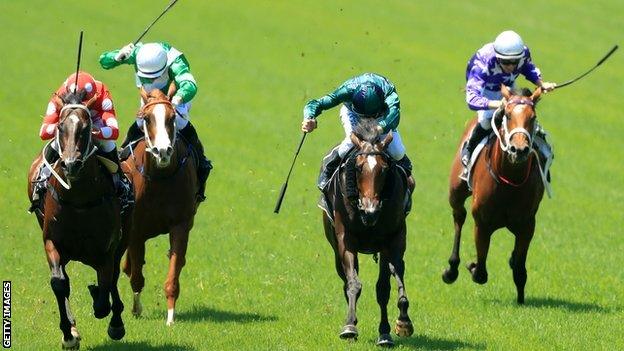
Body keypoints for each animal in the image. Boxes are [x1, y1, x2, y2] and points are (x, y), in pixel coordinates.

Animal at [27, 90, 127, 350]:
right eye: (60, 127)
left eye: (85, 128)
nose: (71, 164)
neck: (79, 200)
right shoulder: (52, 241)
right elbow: (59, 283)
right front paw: (69, 333)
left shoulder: (107, 248)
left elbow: (104, 291)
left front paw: (101, 303)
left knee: (113, 278)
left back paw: (116, 321)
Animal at [119, 86, 200, 326]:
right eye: (147, 118)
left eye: (172, 117)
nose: (162, 151)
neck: (160, 178)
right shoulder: (136, 230)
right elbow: (136, 277)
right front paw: (136, 309)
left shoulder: (180, 224)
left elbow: (173, 273)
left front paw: (171, 317)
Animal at [322, 118, 414, 346]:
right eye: (358, 167)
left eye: (384, 169)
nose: (370, 210)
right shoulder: (345, 240)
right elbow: (353, 284)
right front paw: (349, 326)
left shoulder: (393, 239)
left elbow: (386, 285)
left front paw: (397, 326)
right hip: (335, 246)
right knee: (346, 281)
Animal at [442, 85, 544, 306]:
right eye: (508, 115)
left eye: (532, 117)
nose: (519, 150)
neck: (509, 181)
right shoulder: (482, 223)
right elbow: (480, 272)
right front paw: (472, 266)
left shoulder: (527, 225)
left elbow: (520, 269)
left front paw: (520, 297)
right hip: (456, 192)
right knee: (458, 217)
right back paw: (451, 269)